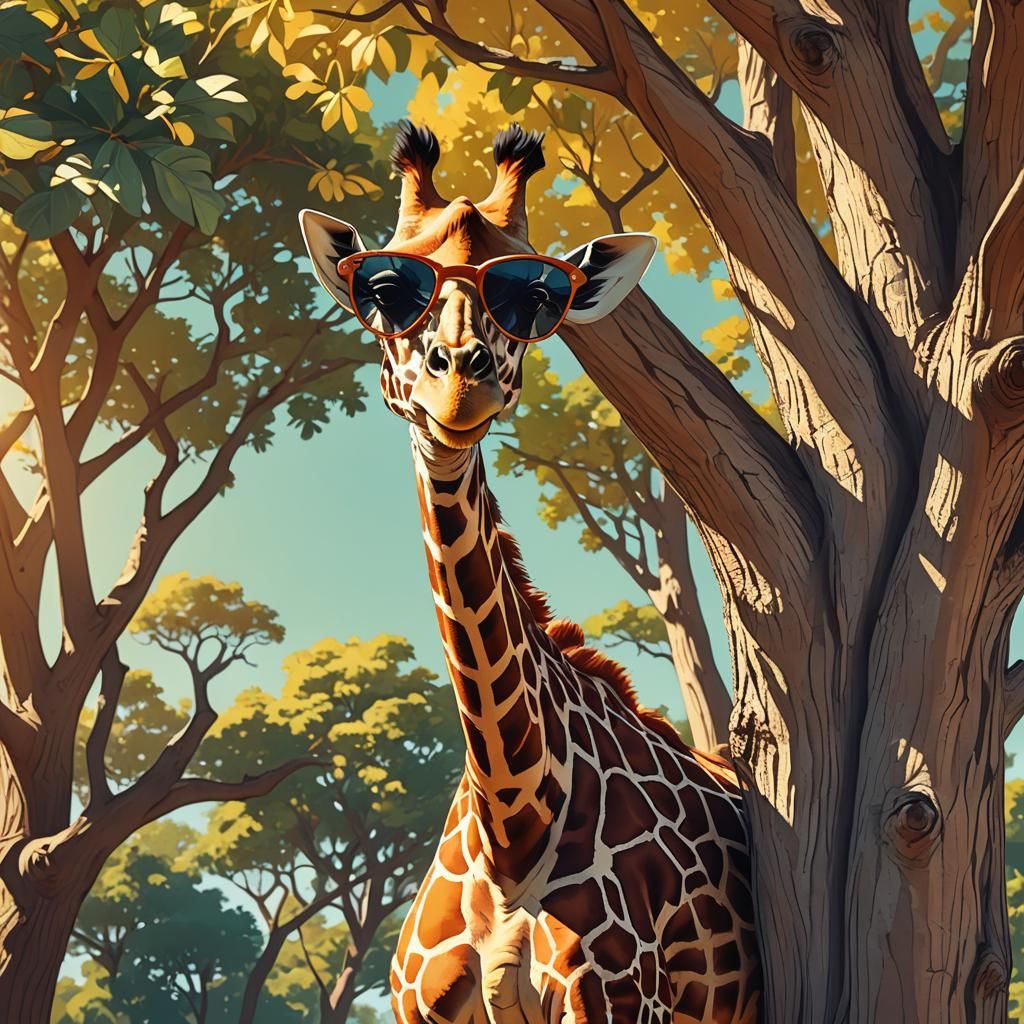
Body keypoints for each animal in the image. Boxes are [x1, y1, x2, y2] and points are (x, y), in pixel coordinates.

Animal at [300, 121, 760, 1024]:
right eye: (388, 286)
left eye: (533, 294)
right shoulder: (417, 1008)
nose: (458, 379)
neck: (515, 818)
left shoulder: (619, 1000)